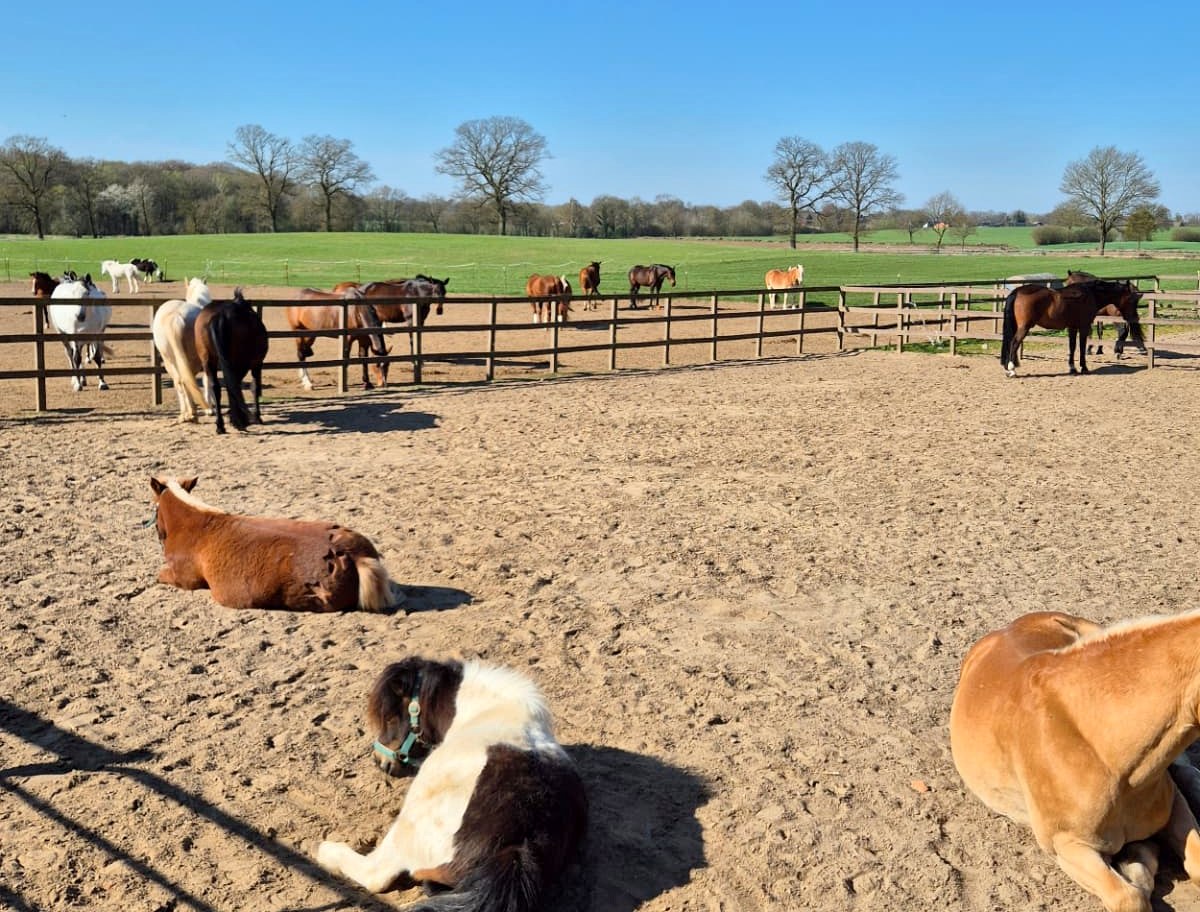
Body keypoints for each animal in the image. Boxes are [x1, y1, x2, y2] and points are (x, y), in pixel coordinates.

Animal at [152, 278, 214, 423]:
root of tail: (176, 316)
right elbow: (207, 381)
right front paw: (209, 408)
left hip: (170, 360)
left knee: (180, 381)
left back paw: (186, 414)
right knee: (186, 381)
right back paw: (191, 413)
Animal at [193, 288, 269, 434]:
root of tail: (221, 316)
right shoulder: (256, 363)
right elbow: (254, 387)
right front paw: (255, 417)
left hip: (208, 360)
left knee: (216, 387)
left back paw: (220, 425)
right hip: (239, 361)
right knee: (233, 385)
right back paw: (238, 421)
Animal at [316, 656, 588, 909]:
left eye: (392, 718)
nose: (380, 761)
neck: (488, 712)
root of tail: (518, 846)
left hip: (406, 828)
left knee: (375, 873)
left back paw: (327, 851)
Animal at [999, 278, 1144, 377]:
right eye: (1131, 299)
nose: (1134, 317)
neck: (1091, 294)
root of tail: (1018, 291)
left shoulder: (1072, 327)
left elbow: (1072, 347)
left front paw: (1072, 368)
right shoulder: (1084, 327)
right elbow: (1081, 347)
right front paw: (1084, 368)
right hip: (1024, 327)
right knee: (1013, 343)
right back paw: (1011, 370)